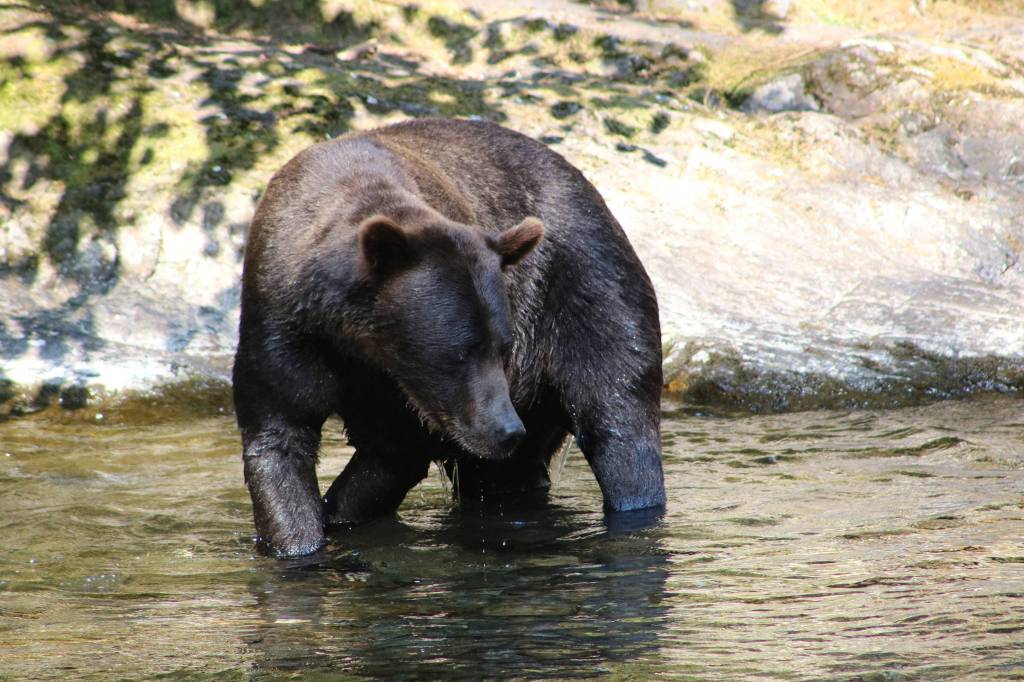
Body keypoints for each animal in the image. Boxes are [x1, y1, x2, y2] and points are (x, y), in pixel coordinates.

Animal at [233, 118, 665, 557]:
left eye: (503, 347)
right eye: (458, 352)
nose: (507, 429)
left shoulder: (407, 390)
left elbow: (395, 448)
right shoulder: (285, 327)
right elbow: (281, 440)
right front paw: (300, 538)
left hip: (587, 289)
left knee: (618, 416)